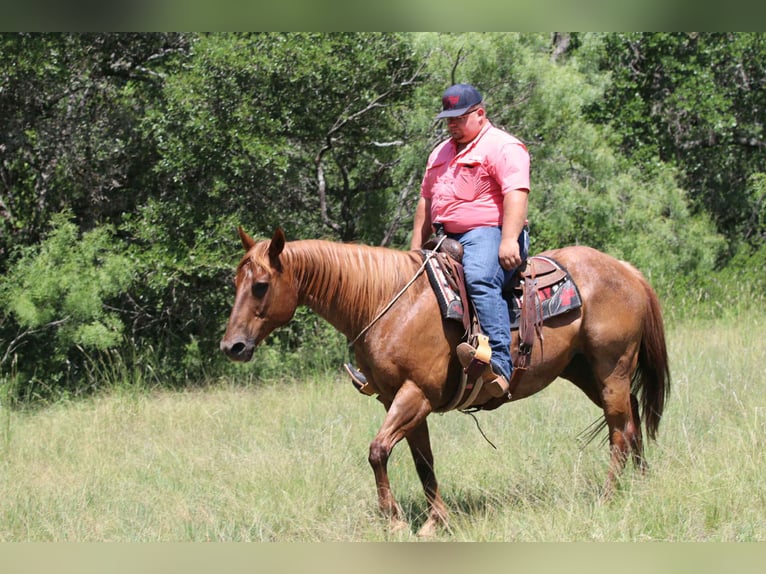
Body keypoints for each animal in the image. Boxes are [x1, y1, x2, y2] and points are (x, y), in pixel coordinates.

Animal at [220, 227, 670, 537]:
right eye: (235, 283)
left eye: (261, 285)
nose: (232, 346)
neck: (387, 301)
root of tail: (627, 270)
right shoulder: (398, 401)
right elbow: (423, 462)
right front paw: (435, 522)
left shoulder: (415, 394)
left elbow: (378, 451)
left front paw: (395, 522)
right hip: (584, 371)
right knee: (630, 419)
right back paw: (641, 483)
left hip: (611, 367)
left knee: (618, 429)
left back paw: (609, 496)